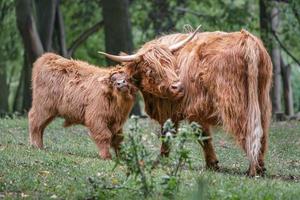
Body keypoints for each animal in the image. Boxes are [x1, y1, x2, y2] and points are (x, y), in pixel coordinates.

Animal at [102, 28, 272, 176]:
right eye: (150, 70)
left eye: (170, 63)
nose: (177, 87)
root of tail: (246, 38)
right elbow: (203, 136)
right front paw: (212, 164)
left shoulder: (182, 108)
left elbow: (176, 134)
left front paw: (161, 161)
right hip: (261, 99)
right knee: (262, 132)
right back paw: (261, 167)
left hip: (234, 101)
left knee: (247, 130)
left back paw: (253, 170)